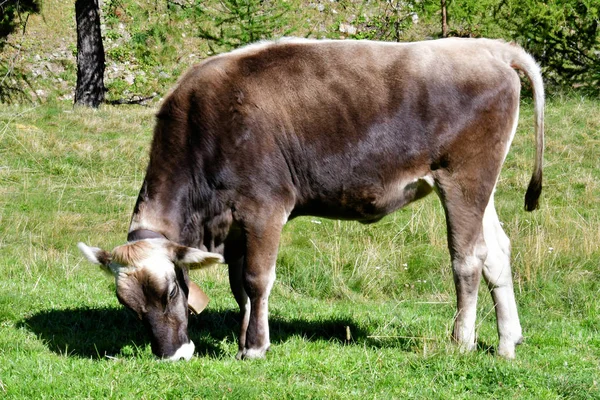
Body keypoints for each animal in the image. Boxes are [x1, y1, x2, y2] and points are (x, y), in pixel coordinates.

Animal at [77, 37, 548, 360]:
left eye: (173, 290)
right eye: (130, 307)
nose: (173, 355)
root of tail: (488, 47)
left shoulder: (264, 208)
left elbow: (257, 279)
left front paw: (255, 347)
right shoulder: (234, 225)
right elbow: (238, 286)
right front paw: (243, 334)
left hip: (462, 178)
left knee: (467, 258)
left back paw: (461, 341)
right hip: (481, 187)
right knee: (497, 253)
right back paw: (507, 342)